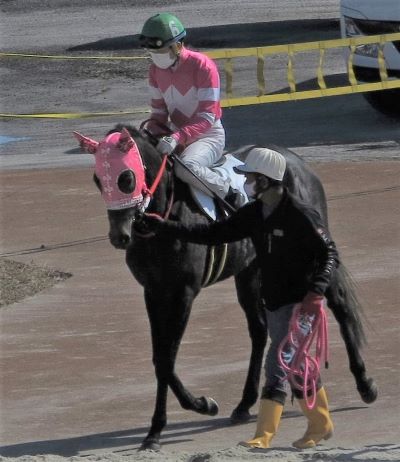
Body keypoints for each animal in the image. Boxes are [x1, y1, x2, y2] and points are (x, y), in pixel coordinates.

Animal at [73, 124, 376, 450]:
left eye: (126, 178)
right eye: (97, 179)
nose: (120, 236)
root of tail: (296, 161)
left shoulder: (183, 293)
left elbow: (167, 359)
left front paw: (199, 406)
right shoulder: (153, 292)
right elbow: (160, 358)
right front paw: (157, 430)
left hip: (313, 258)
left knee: (340, 305)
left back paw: (365, 385)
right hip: (251, 272)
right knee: (259, 330)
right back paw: (244, 404)